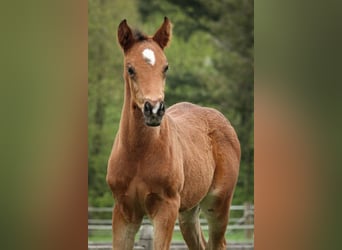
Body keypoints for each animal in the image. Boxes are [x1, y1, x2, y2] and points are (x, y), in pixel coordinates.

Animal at [107, 16, 240, 249]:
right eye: (130, 68)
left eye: (165, 67)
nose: (154, 110)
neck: (138, 154)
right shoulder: (123, 211)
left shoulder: (165, 208)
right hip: (189, 211)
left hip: (218, 204)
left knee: (218, 243)